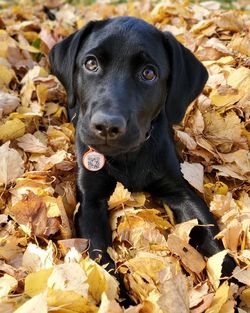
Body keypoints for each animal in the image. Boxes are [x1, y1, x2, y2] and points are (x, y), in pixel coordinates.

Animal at [49, 17, 234, 272]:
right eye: (91, 63)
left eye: (148, 73)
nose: (107, 125)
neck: (128, 156)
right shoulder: (90, 202)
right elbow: (101, 261)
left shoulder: (180, 190)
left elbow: (214, 242)